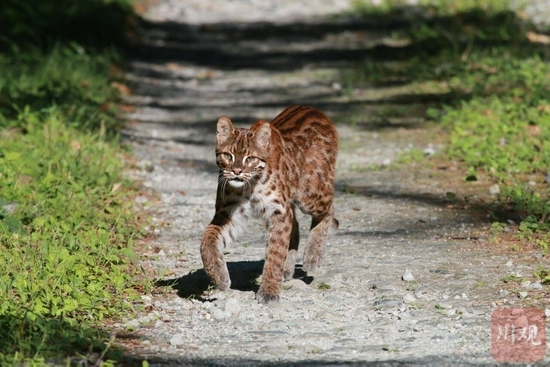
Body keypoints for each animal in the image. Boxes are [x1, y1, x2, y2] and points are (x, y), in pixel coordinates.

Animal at [202, 105, 340, 304]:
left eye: (250, 158)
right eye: (228, 155)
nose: (236, 171)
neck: (250, 184)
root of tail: (313, 109)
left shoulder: (278, 211)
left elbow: (275, 251)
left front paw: (269, 291)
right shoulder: (227, 212)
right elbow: (207, 241)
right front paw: (219, 276)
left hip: (310, 193)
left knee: (329, 207)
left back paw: (313, 255)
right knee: (296, 223)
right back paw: (287, 268)